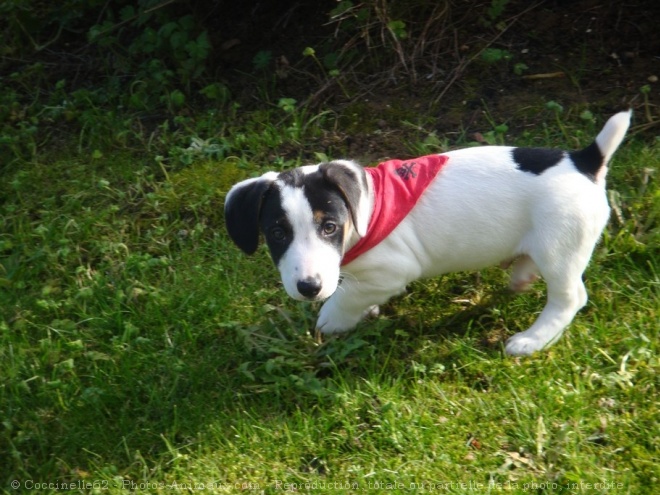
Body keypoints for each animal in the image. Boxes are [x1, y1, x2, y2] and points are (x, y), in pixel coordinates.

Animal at [224, 110, 632, 354]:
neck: (365, 216)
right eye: (277, 233)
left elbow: (344, 299)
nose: (308, 287)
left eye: (329, 227)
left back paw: (532, 339)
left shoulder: (392, 271)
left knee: (569, 298)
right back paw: (521, 275)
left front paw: (333, 320)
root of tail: (584, 161)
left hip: (560, 247)